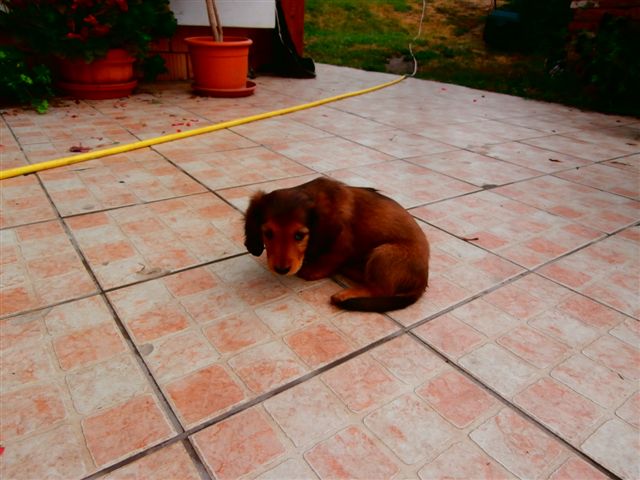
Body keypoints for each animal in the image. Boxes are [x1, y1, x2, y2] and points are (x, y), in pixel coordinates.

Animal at [244, 177, 430, 312]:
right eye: (268, 234)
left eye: (299, 236)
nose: (281, 270)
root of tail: (422, 281)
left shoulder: (343, 245)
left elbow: (325, 262)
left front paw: (311, 270)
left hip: (384, 253)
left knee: (381, 289)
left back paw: (345, 294)